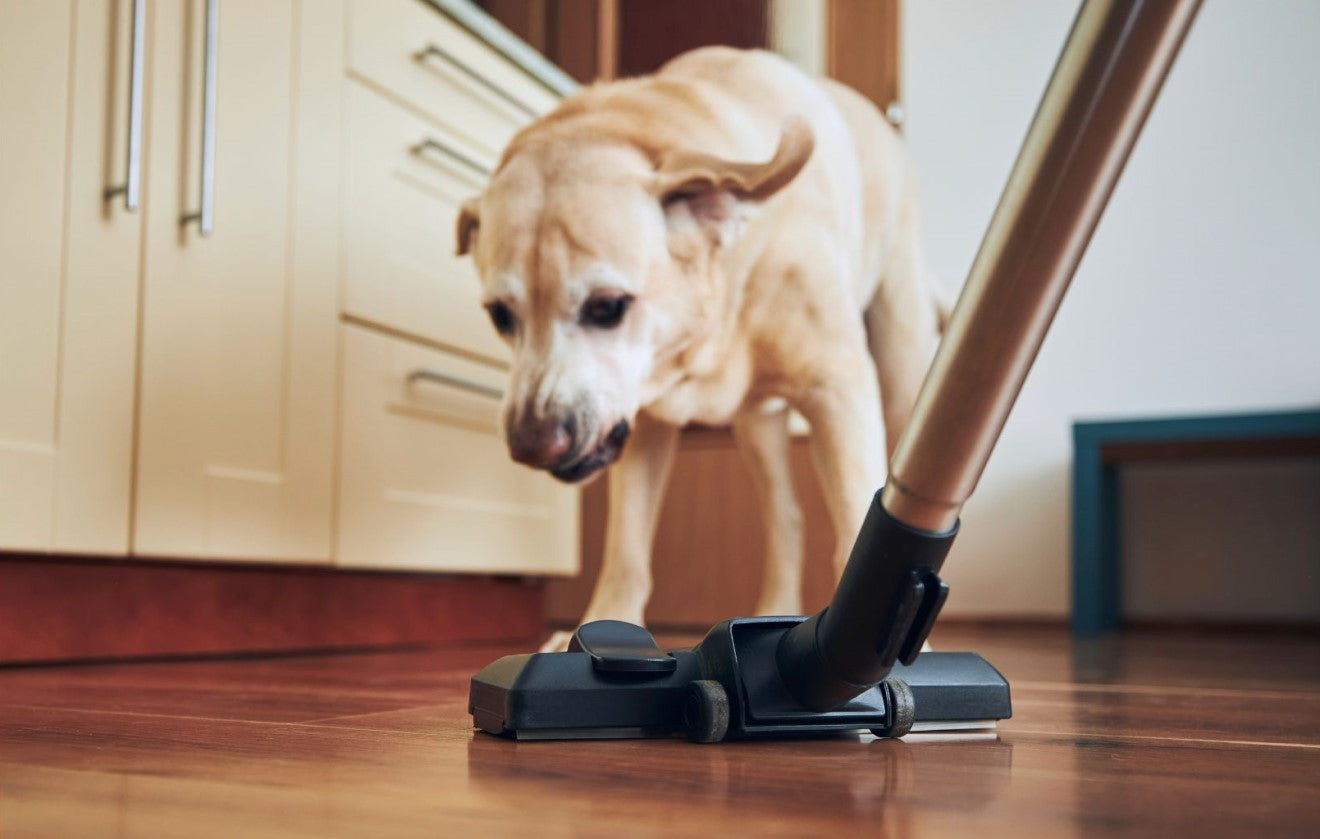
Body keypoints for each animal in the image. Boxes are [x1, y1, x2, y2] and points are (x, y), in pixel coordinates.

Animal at [456, 45, 950, 651]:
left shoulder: (839, 390)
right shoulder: (642, 425)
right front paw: (600, 626)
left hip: (900, 372)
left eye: (607, 307)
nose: (532, 445)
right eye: (501, 316)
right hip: (756, 426)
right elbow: (626, 551)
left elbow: (861, 519)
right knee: (786, 519)